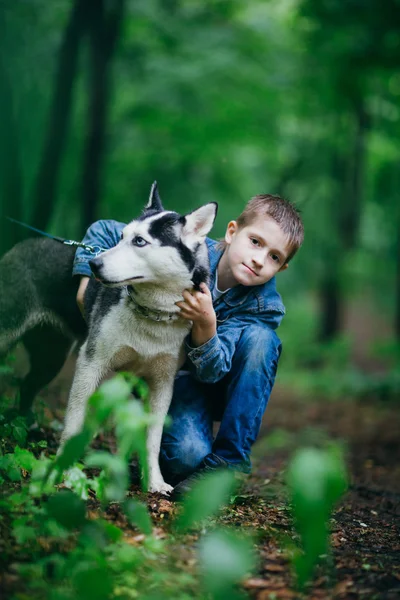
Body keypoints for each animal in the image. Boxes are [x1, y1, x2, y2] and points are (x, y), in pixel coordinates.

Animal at [0, 185, 217, 494]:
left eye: (140, 241)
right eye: (122, 235)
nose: (93, 263)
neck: (154, 314)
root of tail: (22, 245)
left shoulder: (162, 383)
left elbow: (153, 438)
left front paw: (155, 481)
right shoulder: (91, 364)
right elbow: (74, 424)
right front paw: (64, 472)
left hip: (51, 358)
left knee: (28, 384)